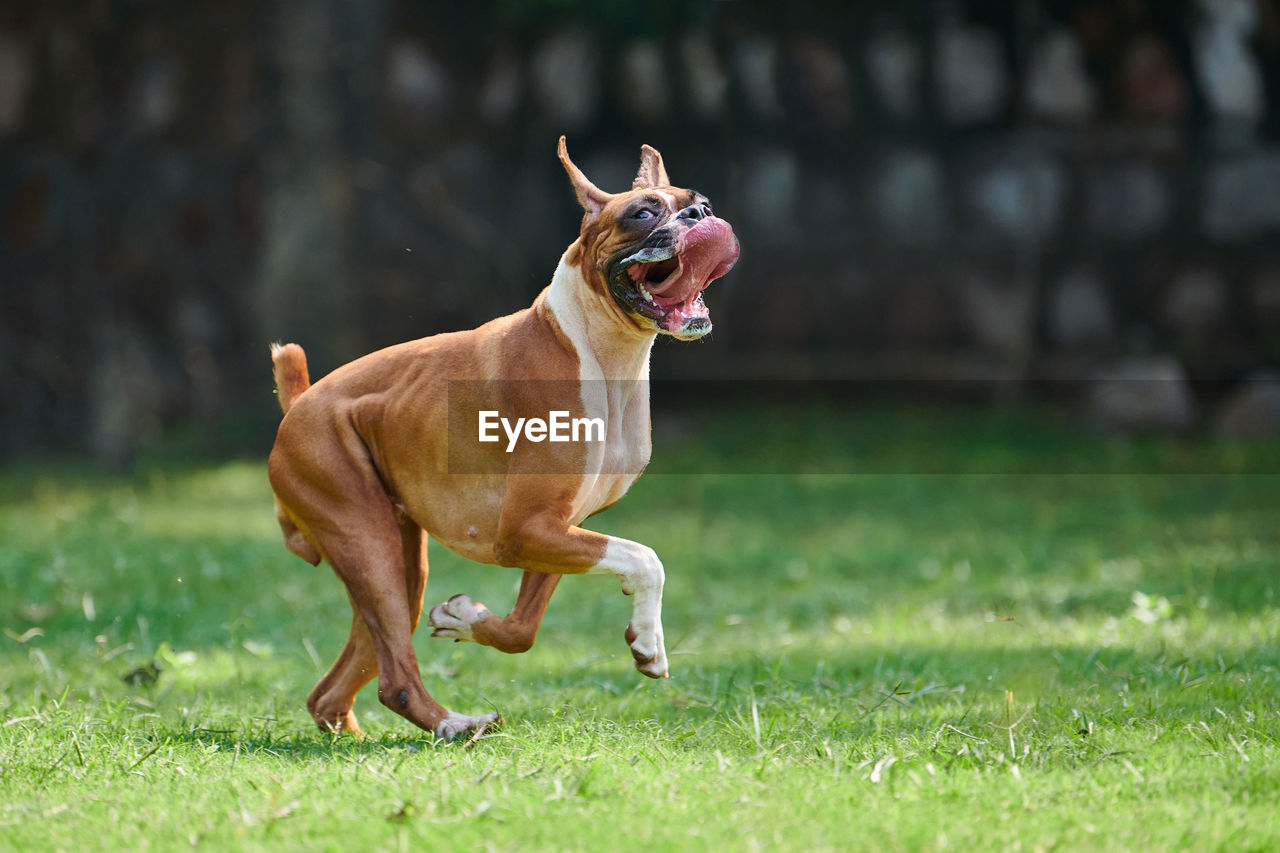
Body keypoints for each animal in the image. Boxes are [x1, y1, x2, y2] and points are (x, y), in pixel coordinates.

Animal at [264, 137, 742, 737]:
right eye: (642, 213)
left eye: (701, 201)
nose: (700, 215)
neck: (602, 354)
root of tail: (301, 403)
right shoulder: (525, 531)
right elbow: (644, 557)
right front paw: (650, 641)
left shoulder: (558, 529)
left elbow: (521, 632)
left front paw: (466, 620)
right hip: (370, 546)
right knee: (394, 677)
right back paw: (455, 725)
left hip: (398, 565)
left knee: (333, 690)